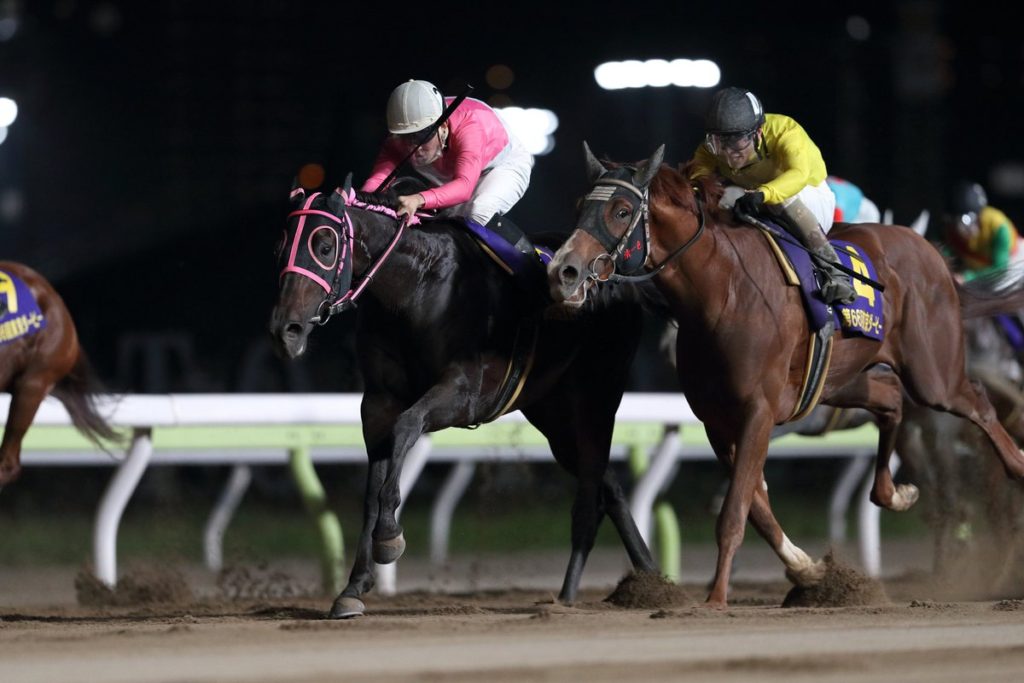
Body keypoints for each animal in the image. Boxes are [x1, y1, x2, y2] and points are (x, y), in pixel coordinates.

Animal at [548, 145, 1024, 610]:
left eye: (622, 211)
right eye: (578, 206)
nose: (563, 272)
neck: (721, 293)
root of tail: (932, 254)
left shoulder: (760, 412)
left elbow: (735, 508)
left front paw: (717, 598)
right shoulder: (718, 421)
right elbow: (753, 503)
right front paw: (808, 570)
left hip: (933, 377)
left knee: (976, 407)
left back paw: (1015, 471)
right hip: (846, 381)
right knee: (892, 400)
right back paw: (894, 495)